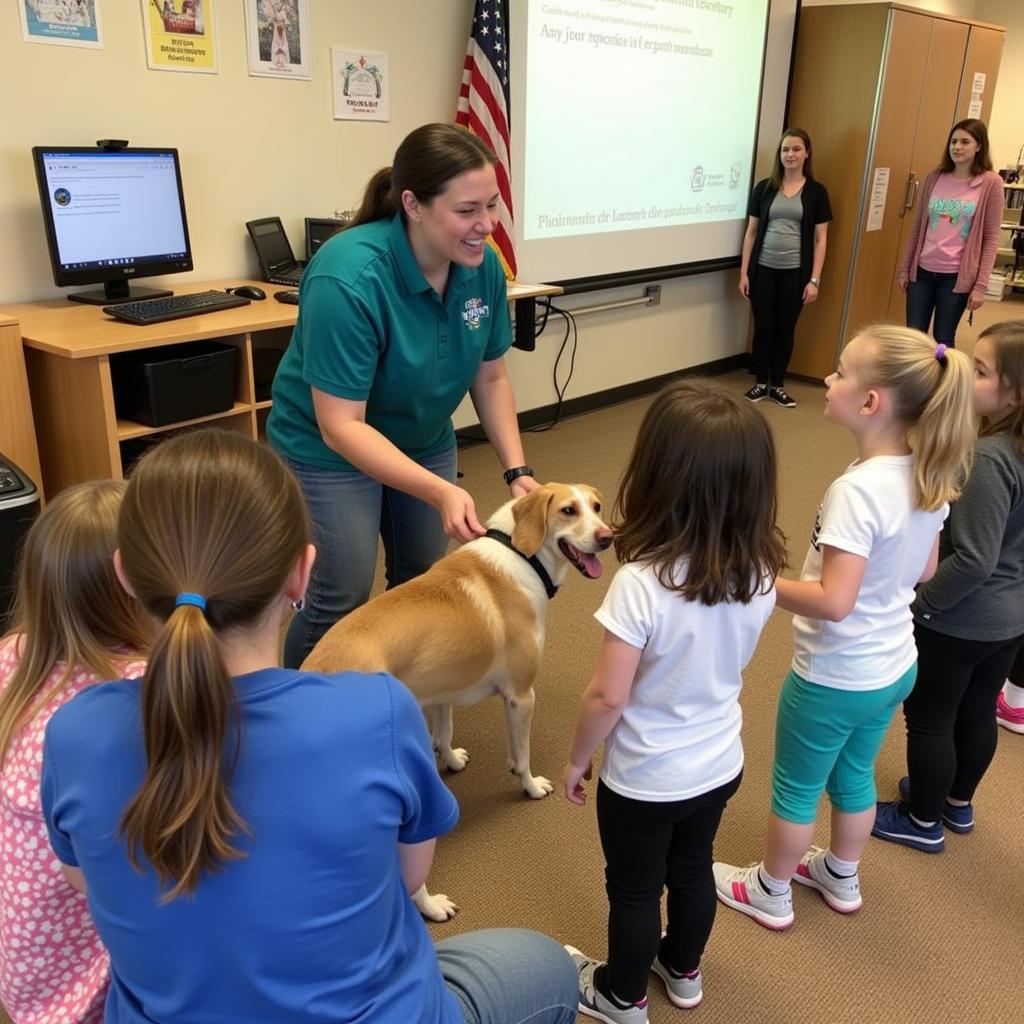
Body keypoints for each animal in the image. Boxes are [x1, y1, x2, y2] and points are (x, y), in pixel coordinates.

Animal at [299, 483, 610, 925]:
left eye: (596, 507)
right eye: (569, 511)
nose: (608, 537)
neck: (521, 553)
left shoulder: (439, 688)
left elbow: (443, 732)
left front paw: (450, 759)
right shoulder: (521, 696)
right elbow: (522, 756)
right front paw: (531, 785)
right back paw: (431, 906)